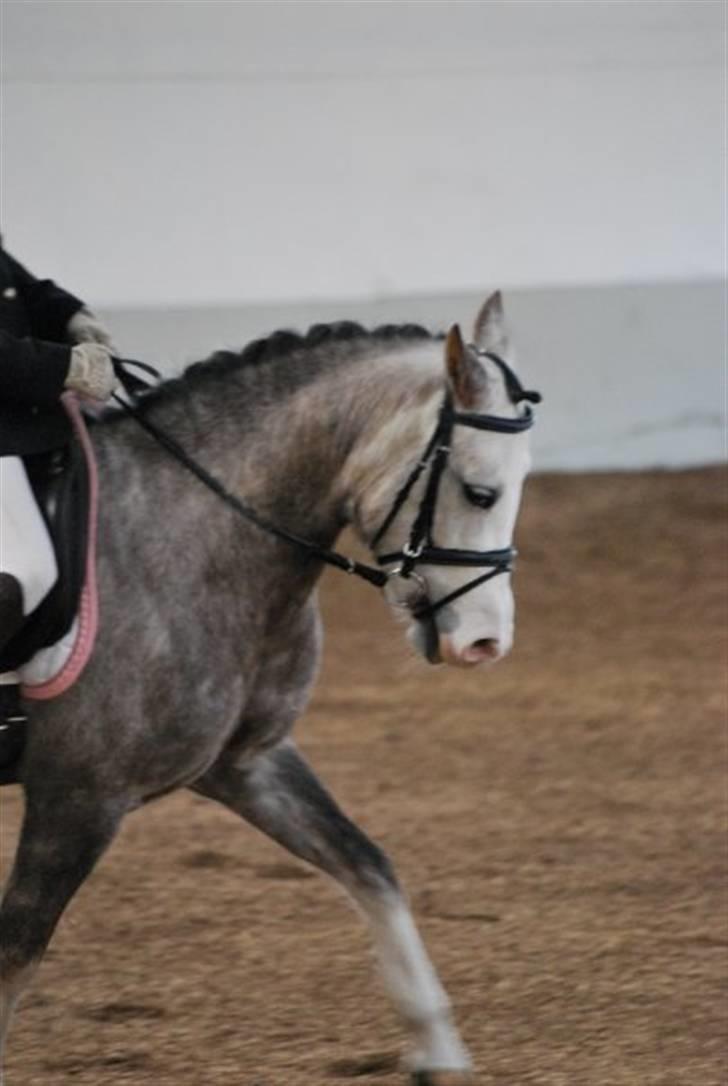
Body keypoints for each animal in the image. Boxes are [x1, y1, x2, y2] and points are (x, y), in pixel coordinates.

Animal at [0, 292, 538, 1083]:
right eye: (479, 492)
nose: (486, 643)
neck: (189, 538)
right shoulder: (78, 797)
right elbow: (15, 956)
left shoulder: (245, 761)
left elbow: (368, 866)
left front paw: (436, 1049)